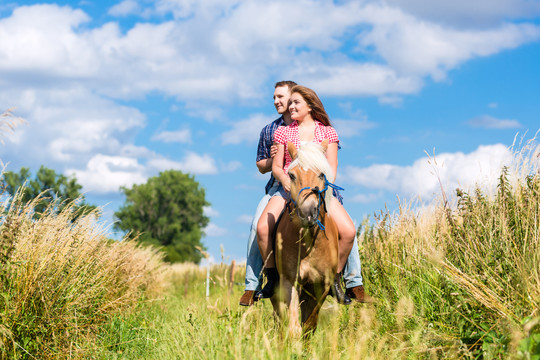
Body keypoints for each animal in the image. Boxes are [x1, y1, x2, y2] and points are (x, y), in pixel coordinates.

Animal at [272, 139, 340, 336]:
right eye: (292, 175)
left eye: (322, 174)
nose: (308, 213)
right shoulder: (290, 280)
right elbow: (293, 326)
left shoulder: (322, 285)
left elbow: (309, 324)